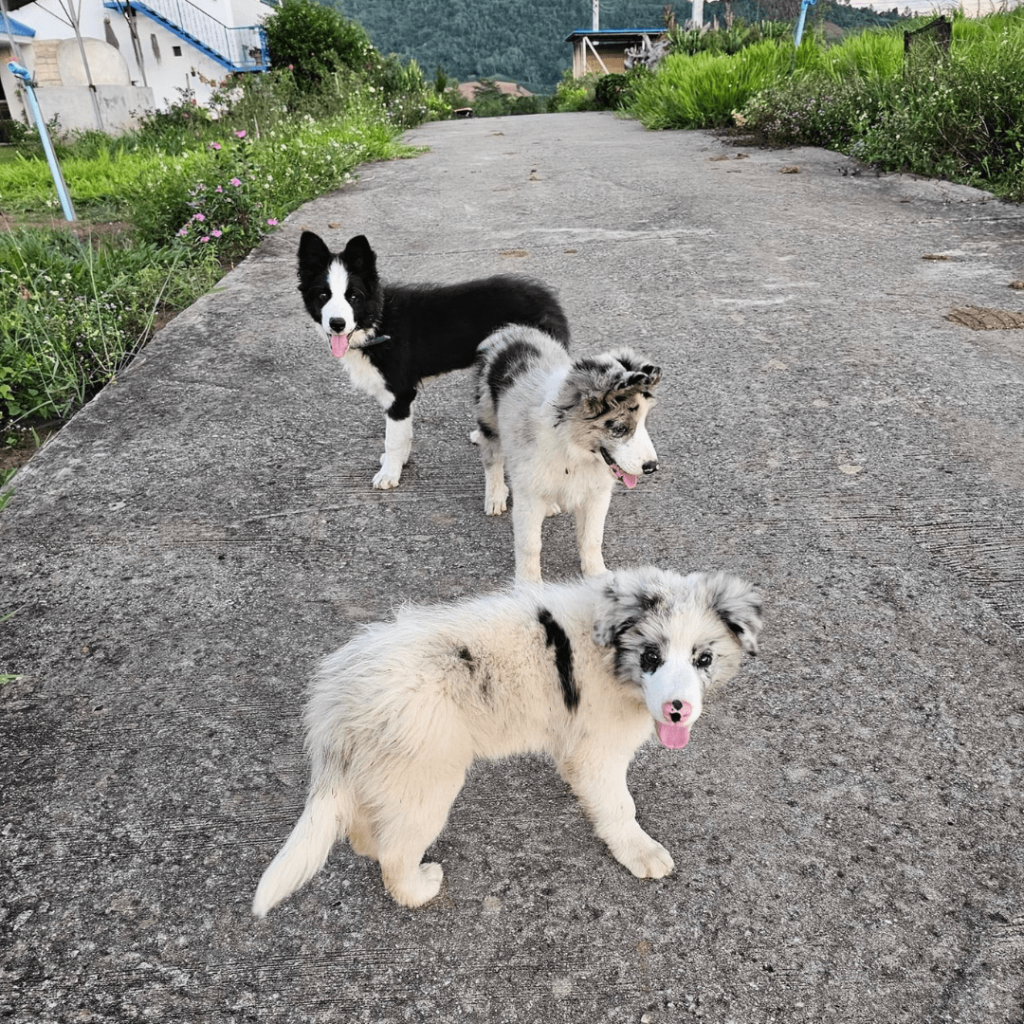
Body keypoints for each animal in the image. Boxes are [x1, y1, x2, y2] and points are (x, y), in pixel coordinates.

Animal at [249, 569, 761, 913]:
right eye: (651, 656)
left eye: (704, 658)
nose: (678, 710)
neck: (606, 651)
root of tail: (335, 694)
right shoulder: (600, 750)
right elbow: (620, 807)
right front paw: (641, 852)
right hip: (427, 779)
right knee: (395, 855)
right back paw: (418, 886)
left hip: (386, 770)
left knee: (362, 825)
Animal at [296, 232, 573, 487]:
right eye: (323, 296)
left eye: (353, 297)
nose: (337, 324)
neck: (379, 321)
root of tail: (550, 299)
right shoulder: (403, 396)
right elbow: (404, 432)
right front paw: (398, 462)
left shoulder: (399, 392)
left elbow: (392, 437)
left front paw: (389, 474)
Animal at [473, 327, 663, 585]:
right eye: (619, 428)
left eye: (644, 423)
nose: (652, 466)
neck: (573, 451)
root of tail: (514, 330)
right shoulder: (528, 493)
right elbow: (529, 544)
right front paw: (528, 587)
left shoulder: (597, 494)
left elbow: (592, 538)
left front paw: (596, 575)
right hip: (489, 418)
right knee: (492, 457)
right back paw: (494, 497)